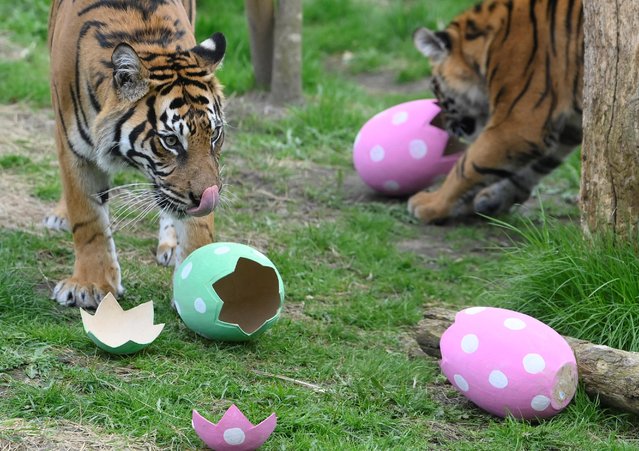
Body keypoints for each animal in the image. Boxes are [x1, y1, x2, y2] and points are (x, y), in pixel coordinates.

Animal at [47, 0, 228, 308]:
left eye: (214, 135)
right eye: (170, 140)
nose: (206, 199)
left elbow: (199, 226)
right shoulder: (73, 149)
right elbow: (88, 219)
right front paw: (89, 285)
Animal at [410, 0, 584, 225]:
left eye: (435, 88)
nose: (441, 125)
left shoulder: (516, 125)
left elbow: (466, 165)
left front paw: (432, 203)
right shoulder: (566, 125)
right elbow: (530, 168)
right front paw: (490, 199)